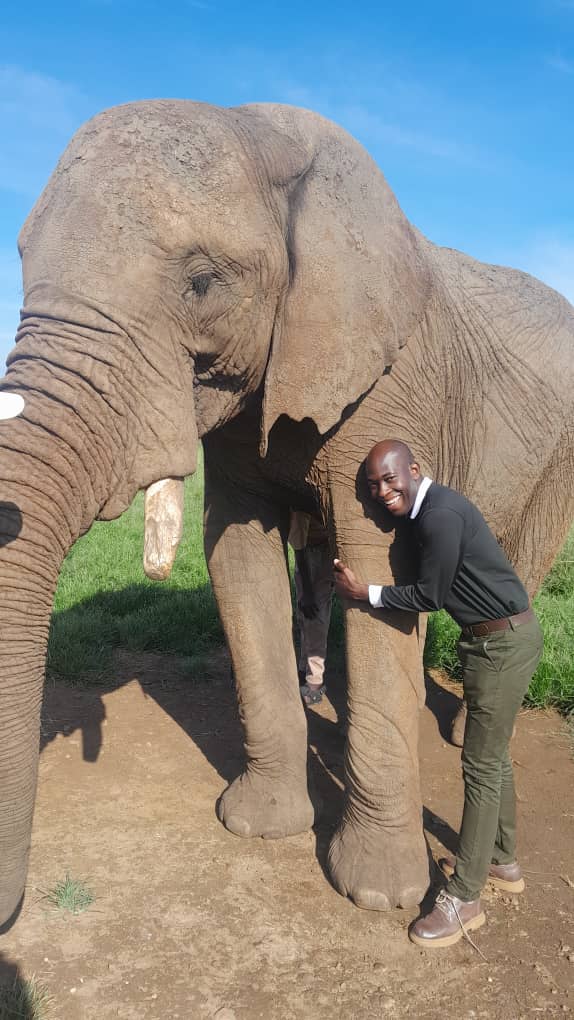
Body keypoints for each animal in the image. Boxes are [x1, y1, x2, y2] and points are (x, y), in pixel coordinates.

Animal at [1, 99, 573, 932]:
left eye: (203, 282)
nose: (10, 916)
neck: (255, 129)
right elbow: (237, 556)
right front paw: (259, 826)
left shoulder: (392, 387)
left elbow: (378, 568)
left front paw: (377, 894)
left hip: (558, 456)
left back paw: (467, 725)